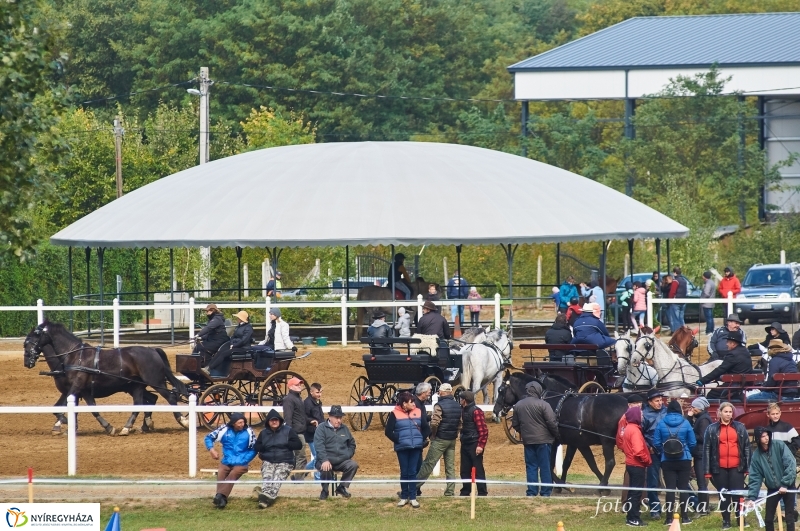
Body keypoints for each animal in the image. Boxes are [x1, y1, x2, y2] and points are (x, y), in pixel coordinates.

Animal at [24, 320, 190, 436]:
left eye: (31, 340)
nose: (27, 362)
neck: (74, 356)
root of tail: (153, 350)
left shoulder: (75, 388)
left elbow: (63, 408)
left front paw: (63, 422)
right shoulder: (81, 391)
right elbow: (85, 408)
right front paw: (70, 426)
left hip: (155, 381)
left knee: (170, 397)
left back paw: (183, 421)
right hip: (136, 386)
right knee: (143, 402)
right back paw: (133, 426)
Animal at [494, 370, 632, 494]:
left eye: (501, 390)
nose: (496, 411)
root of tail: (626, 406)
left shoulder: (554, 442)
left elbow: (549, 465)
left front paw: (561, 484)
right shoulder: (577, 443)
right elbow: (585, 463)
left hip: (606, 441)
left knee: (610, 462)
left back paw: (602, 486)